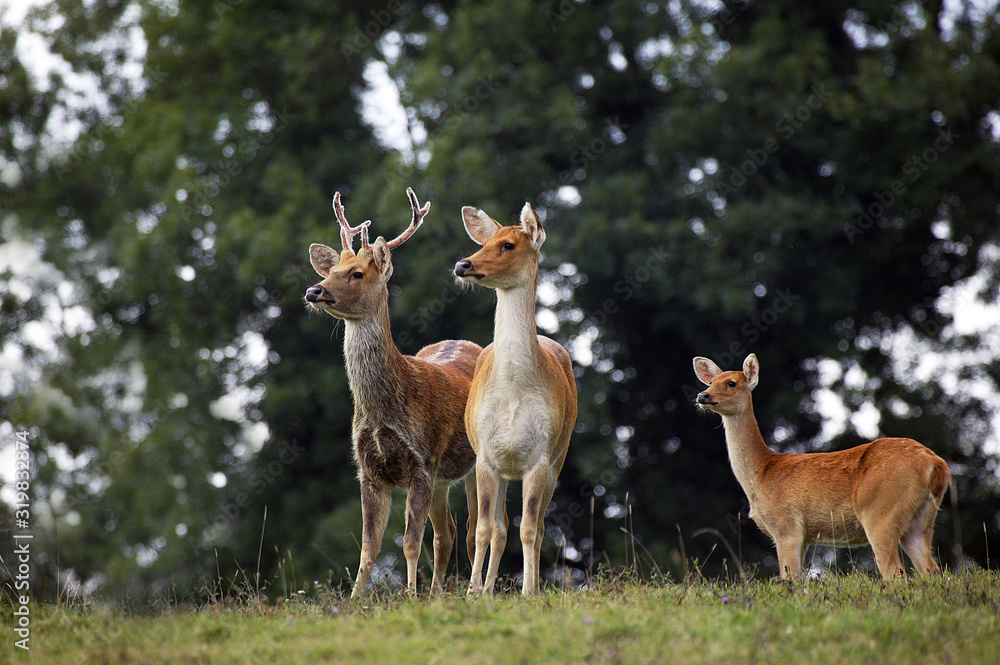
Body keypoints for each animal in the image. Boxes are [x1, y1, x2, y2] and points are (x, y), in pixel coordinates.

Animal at [304, 187, 483, 598]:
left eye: (356, 273)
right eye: (329, 271)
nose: (313, 290)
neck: (383, 410)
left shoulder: (422, 461)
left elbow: (412, 542)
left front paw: (411, 596)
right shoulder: (370, 471)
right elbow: (368, 547)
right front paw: (355, 600)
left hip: (475, 462)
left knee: (475, 528)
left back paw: (477, 590)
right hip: (442, 479)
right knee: (447, 533)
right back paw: (438, 593)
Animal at [454, 202, 578, 595]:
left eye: (508, 245)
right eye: (483, 242)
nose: (463, 265)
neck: (513, 390)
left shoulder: (540, 455)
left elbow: (530, 529)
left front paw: (528, 591)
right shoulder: (486, 456)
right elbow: (483, 528)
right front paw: (473, 591)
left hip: (559, 457)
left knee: (534, 526)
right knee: (500, 524)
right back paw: (487, 588)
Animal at [693, 353, 951, 579]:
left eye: (731, 383)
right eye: (711, 381)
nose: (702, 395)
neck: (761, 474)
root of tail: (934, 463)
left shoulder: (786, 527)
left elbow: (790, 579)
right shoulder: (805, 537)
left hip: (881, 511)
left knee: (895, 573)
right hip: (921, 518)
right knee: (932, 571)